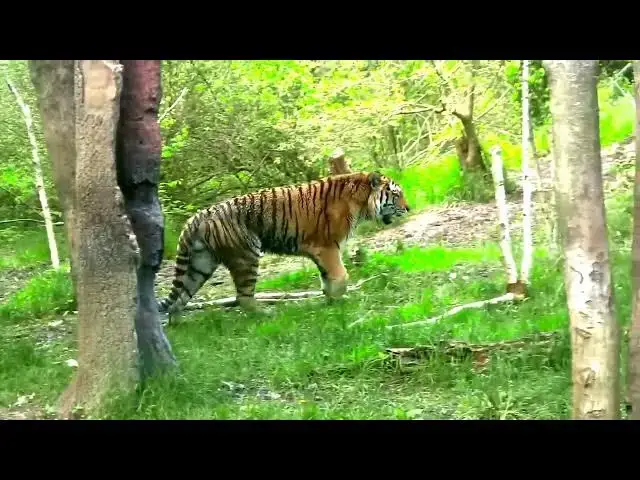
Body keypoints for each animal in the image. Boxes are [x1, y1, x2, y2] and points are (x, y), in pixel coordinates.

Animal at [158, 171, 410, 322]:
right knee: (243, 297)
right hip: (246, 255)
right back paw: (265, 314)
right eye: (396, 194)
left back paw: (177, 324)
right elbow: (340, 276)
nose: (408, 208)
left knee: (180, 298)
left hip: (200, 264)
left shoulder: (321, 251)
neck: (362, 201)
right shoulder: (328, 246)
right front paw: (339, 300)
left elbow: (326, 278)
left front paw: (331, 300)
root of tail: (197, 217)